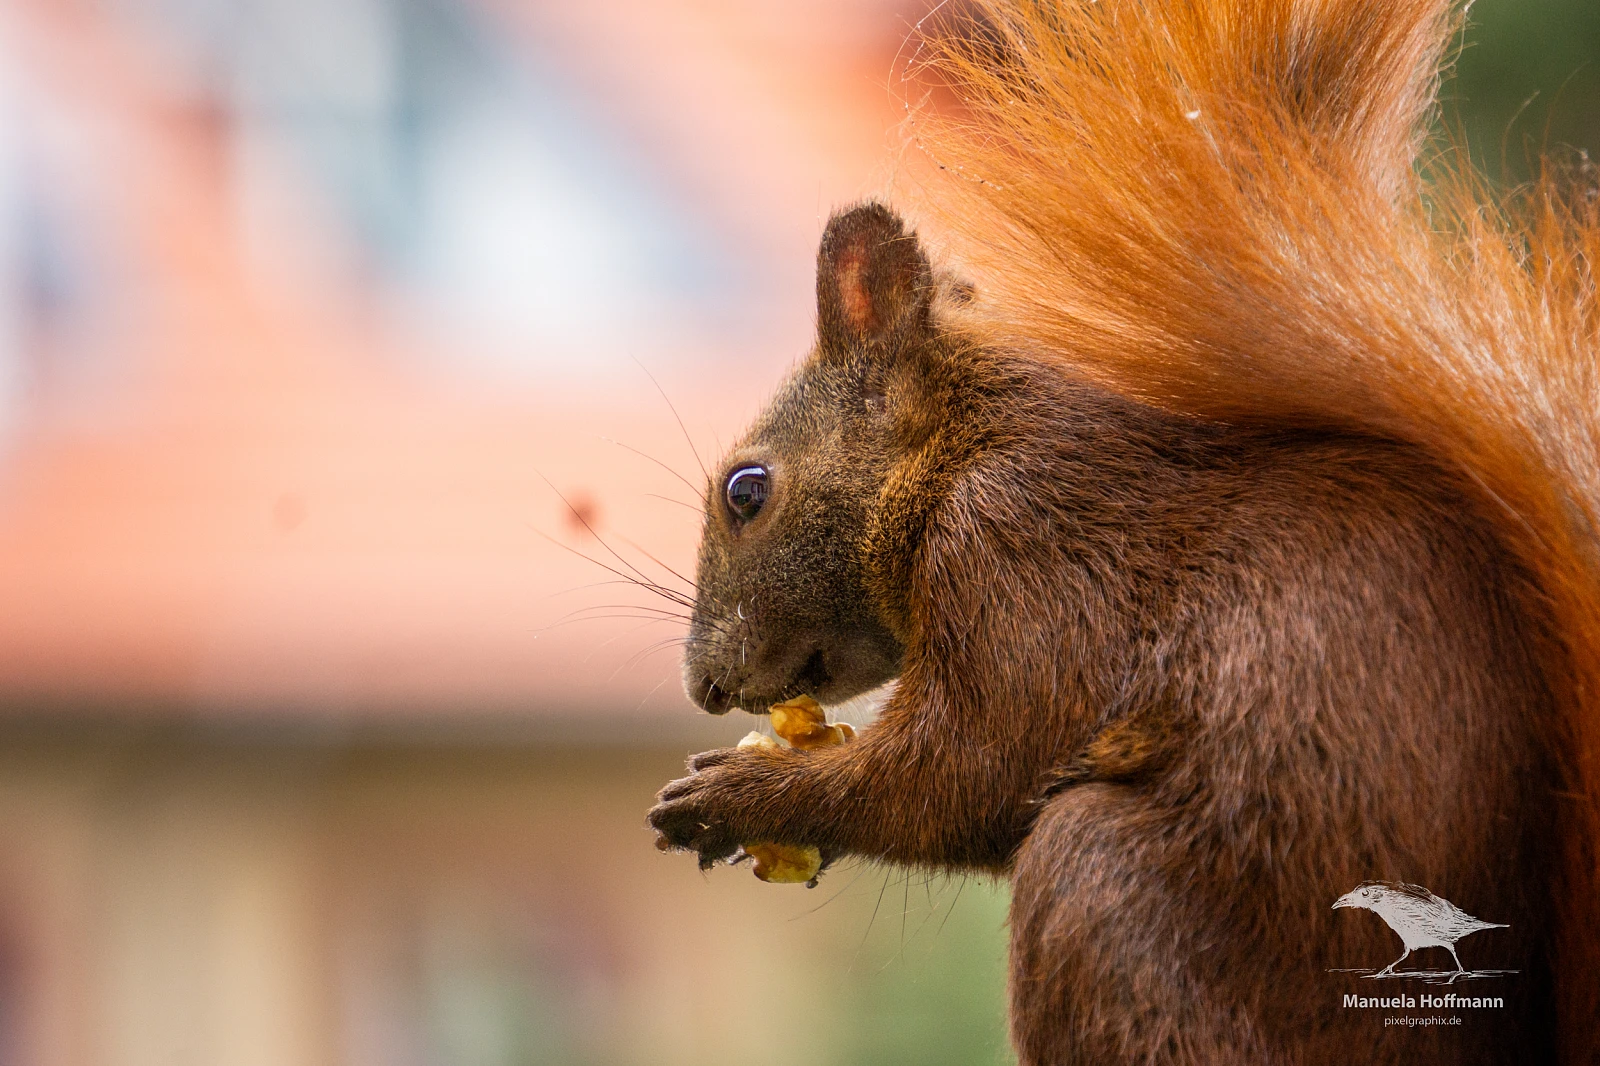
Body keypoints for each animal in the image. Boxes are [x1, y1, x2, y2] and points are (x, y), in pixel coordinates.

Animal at [648, 1, 1600, 1063]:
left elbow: (965, 772)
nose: (703, 686)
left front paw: (737, 798)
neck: (958, 454)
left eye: (747, 490)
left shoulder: (1020, 551)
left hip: (1100, 891)